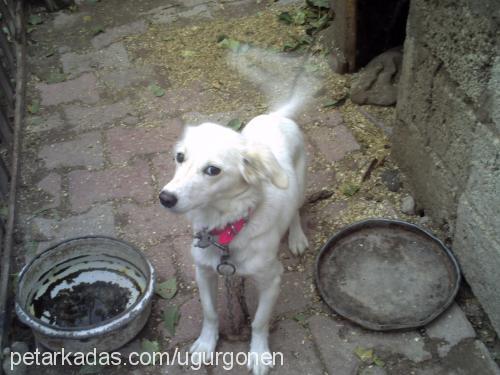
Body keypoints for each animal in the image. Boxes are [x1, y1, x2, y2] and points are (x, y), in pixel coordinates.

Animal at [160, 110, 308, 374]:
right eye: (180, 157)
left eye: (212, 170)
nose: (165, 198)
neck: (227, 230)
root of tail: (277, 115)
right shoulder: (203, 272)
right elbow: (210, 313)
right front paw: (206, 344)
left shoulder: (272, 280)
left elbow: (259, 322)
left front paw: (259, 354)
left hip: (300, 185)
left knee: (296, 211)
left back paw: (297, 236)